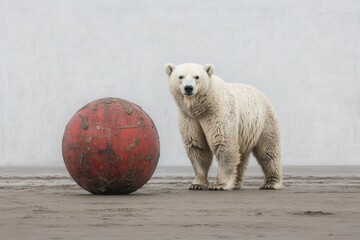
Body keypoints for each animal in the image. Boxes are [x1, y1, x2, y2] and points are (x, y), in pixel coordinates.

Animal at [165, 62, 282, 190]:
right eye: (180, 77)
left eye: (197, 77)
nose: (188, 88)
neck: (202, 107)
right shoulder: (189, 118)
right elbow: (197, 146)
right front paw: (197, 184)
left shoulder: (218, 112)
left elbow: (223, 142)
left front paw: (220, 185)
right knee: (241, 157)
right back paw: (236, 183)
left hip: (263, 121)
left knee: (268, 151)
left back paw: (271, 183)